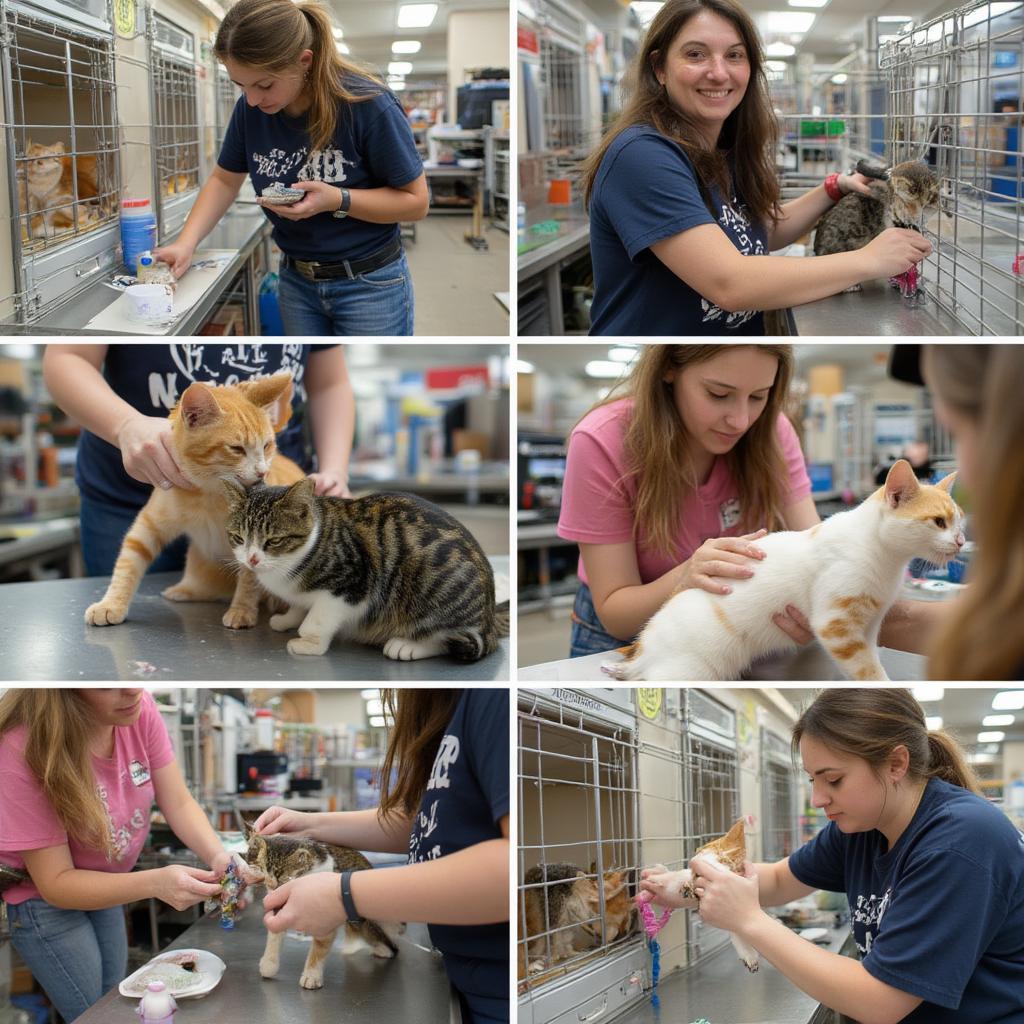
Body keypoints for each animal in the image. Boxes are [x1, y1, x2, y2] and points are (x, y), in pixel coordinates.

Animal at [85, 374, 301, 630]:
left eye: (267, 445)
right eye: (236, 449)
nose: (262, 472)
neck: (209, 494)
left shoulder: (256, 537)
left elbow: (249, 578)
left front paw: (242, 610)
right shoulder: (148, 526)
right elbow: (127, 563)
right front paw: (111, 604)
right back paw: (187, 590)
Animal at [225, 477, 512, 659]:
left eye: (273, 541)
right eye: (238, 538)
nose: (252, 559)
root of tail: (489, 617)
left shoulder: (350, 584)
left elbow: (318, 618)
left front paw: (309, 642)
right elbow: (300, 605)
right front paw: (287, 618)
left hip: (435, 594)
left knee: (461, 641)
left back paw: (408, 646)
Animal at [240, 827, 399, 987]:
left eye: (284, 880)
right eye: (266, 875)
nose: (272, 887)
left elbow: (320, 947)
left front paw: (311, 975)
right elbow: (275, 932)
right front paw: (269, 964)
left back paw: (383, 949)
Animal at [602, 462, 962, 684]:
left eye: (959, 522)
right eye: (938, 522)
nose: (960, 541)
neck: (886, 556)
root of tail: (641, 653)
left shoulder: (869, 625)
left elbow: (870, 658)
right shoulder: (836, 626)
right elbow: (867, 670)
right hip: (691, 669)